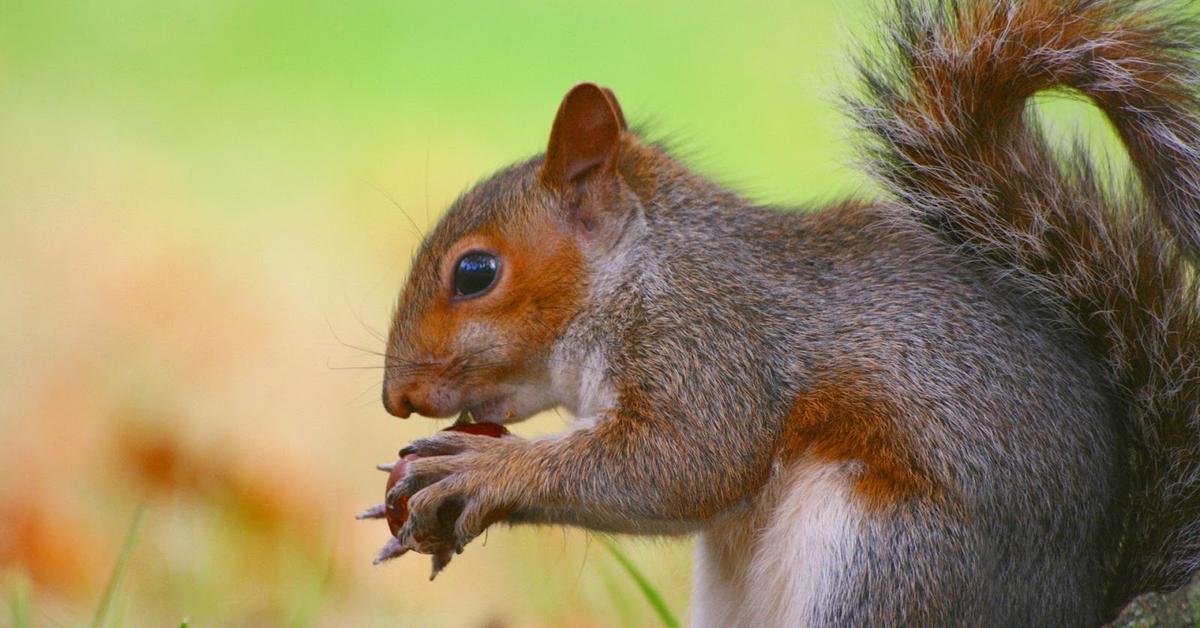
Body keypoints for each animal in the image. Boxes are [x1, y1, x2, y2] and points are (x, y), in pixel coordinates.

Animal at [362, 0, 1200, 624]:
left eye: (475, 272)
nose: (396, 398)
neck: (642, 266)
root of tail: (1082, 600)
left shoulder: (715, 341)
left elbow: (687, 461)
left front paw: (481, 469)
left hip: (885, 559)